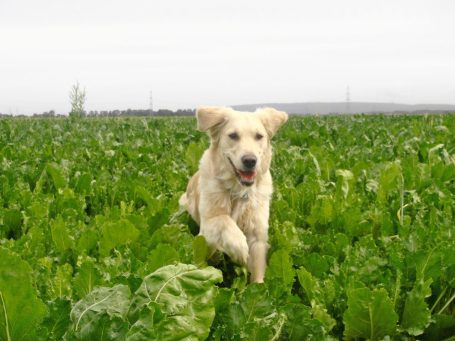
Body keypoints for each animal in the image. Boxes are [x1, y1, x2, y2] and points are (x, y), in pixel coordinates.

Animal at [180, 106, 286, 282]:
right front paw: (241, 250)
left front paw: (258, 286)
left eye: (259, 136)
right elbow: (225, 221)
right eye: (233, 135)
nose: (250, 160)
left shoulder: (258, 233)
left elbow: (258, 269)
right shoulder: (208, 224)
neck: (239, 190)